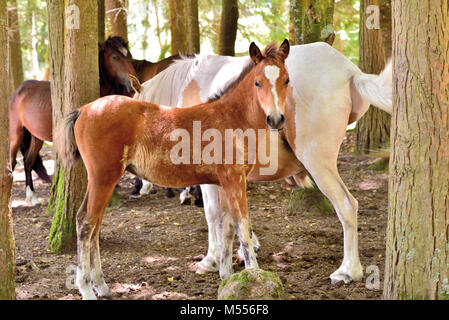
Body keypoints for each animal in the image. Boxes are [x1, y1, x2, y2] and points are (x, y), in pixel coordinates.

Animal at [9, 35, 137, 205]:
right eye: (115, 57)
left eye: (129, 56)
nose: (134, 84)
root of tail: (18, 90)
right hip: (16, 133)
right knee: (12, 162)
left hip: (36, 137)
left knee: (28, 161)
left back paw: (33, 197)